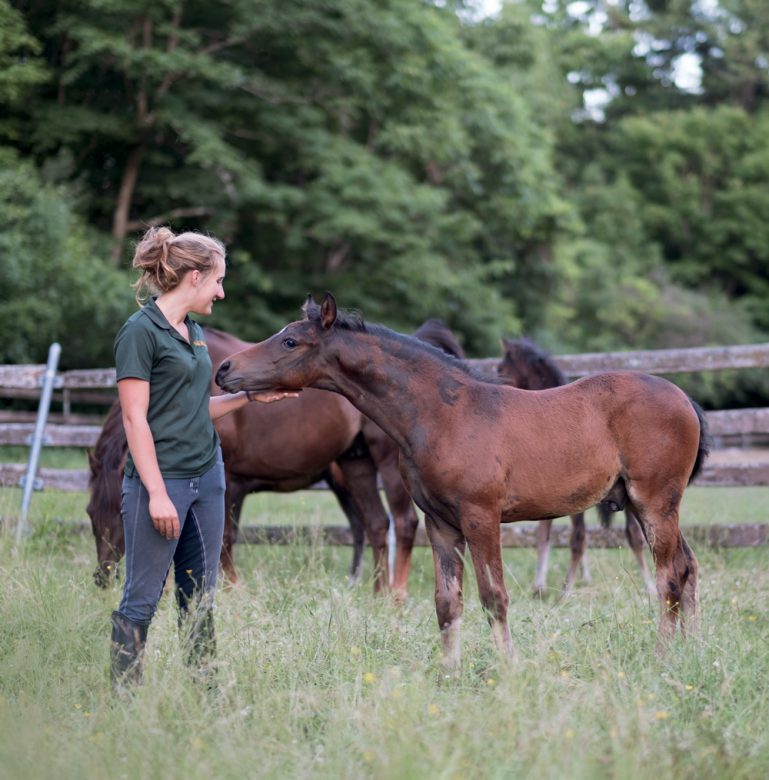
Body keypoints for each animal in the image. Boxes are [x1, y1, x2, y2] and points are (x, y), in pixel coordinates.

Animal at [87, 324, 392, 592]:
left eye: (120, 511)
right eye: (90, 512)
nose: (103, 577)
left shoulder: (229, 482)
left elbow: (224, 537)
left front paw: (230, 586)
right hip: (351, 468)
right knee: (371, 524)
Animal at [498, 336, 656, 596]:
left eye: (501, 369)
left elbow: (574, 539)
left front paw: (562, 590)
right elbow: (546, 536)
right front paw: (540, 585)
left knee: (628, 535)